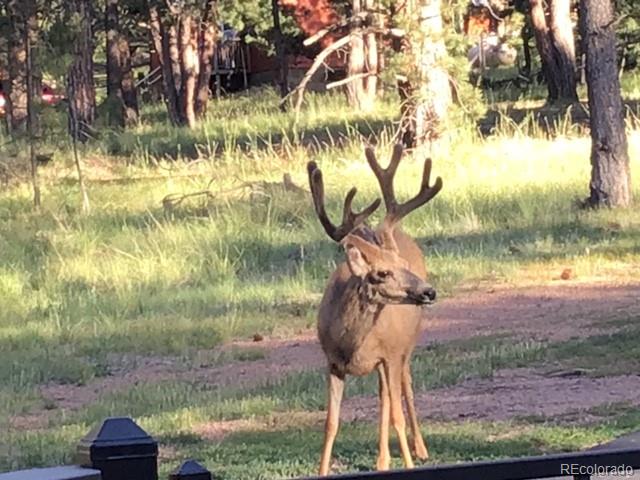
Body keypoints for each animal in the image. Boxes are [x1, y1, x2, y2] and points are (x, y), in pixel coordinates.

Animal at [308, 143, 442, 476]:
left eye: (404, 265)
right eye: (381, 273)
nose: (429, 291)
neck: (351, 343)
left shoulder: (390, 354)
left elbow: (396, 415)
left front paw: (408, 462)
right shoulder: (331, 362)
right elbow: (331, 423)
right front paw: (322, 471)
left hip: (406, 344)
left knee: (403, 388)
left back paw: (419, 449)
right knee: (384, 398)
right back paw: (382, 460)